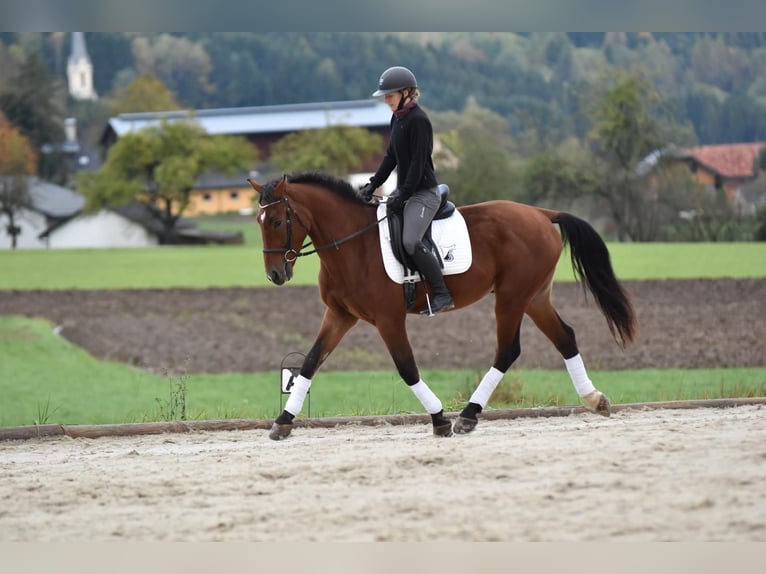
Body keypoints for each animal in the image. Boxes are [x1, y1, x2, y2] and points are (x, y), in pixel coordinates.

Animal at [248, 171, 636, 440]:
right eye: (258, 222)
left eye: (279, 221)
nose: (275, 274)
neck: (352, 246)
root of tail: (541, 214)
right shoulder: (340, 315)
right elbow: (310, 362)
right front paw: (283, 422)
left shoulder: (389, 319)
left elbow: (407, 369)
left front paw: (439, 419)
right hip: (535, 297)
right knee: (565, 337)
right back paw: (595, 399)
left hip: (511, 298)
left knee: (508, 350)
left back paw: (468, 415)